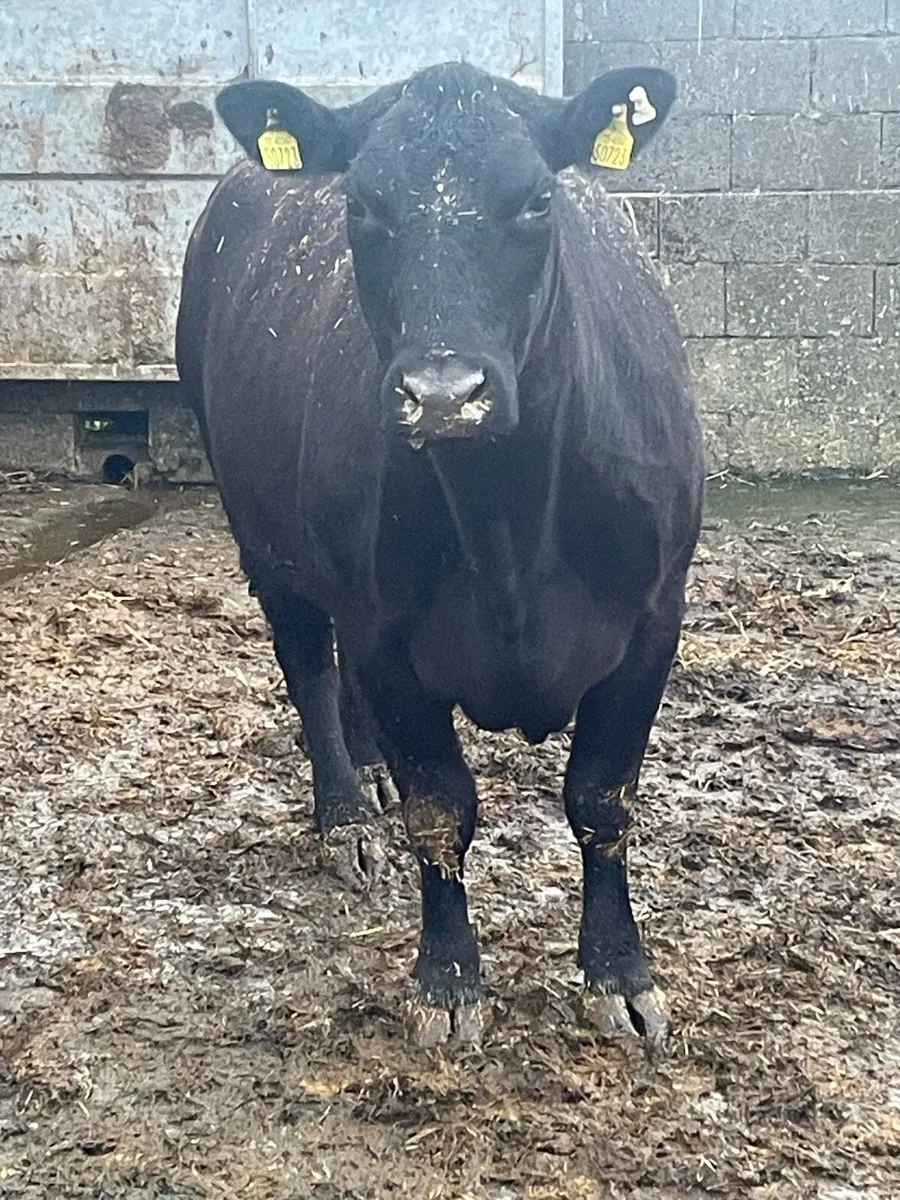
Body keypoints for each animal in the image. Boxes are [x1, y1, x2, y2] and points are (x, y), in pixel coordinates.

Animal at [176, 61, 704, 1049]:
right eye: (363, 204)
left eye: (538, 200)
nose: (445, 392)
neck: (507, 533)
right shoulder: (385, 631)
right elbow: (441, 807)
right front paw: (448, 981)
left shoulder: (656, 617)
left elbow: (602, 800)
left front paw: (619, 974)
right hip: (262, 534)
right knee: (309, 664)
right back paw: (346, 814)